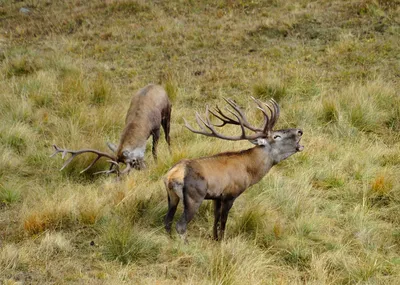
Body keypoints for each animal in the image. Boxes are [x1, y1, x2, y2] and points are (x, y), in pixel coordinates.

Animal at [162, 97, 304, 240]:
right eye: (276, 136)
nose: (299, 131)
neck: (250, 172)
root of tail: (172, 175)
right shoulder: (230, 194)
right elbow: (223, 221)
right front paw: (221, 240)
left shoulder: (217, 197)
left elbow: (216, 218)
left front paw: (215, 238)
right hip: (194, 196)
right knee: (180, 225)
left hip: (172, 196)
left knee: (167, 221)